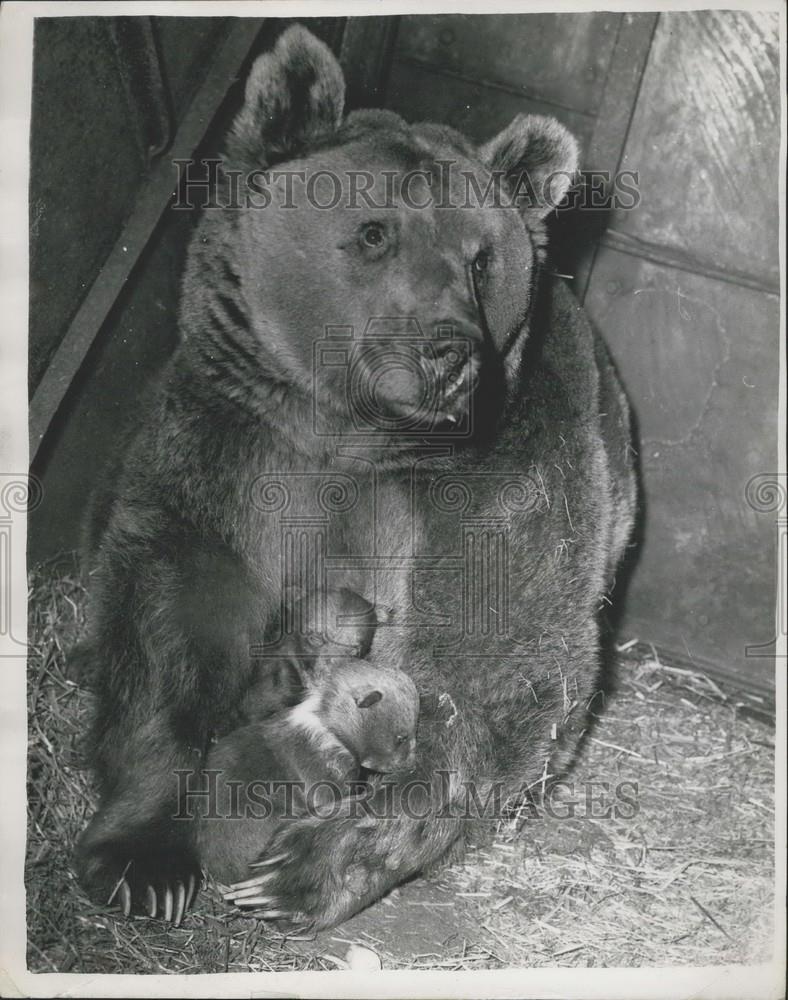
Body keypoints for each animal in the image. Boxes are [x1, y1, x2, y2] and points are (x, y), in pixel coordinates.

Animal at [75, 23, 636, 928]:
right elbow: (175, 610)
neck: (351, 431)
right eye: (375, 233)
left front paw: (307, 864)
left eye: (481, 258)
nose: (449, 351)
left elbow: (496, 653)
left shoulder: (498, 475)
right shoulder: (233, 440)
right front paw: (142, 860)